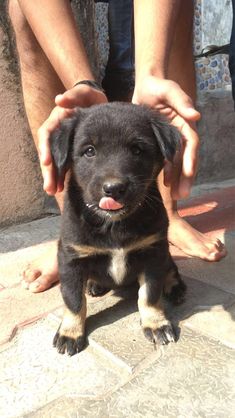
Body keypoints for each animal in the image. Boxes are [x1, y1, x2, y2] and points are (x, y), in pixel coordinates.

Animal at [50, 103, 186, 354]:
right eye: (89, 151)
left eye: (137, 150)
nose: (113, 189)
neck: (114, 223)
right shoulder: (70, 258)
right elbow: (73, 300)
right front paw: (70, 332)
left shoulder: (153, 252)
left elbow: (150, 294)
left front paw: (156, 323)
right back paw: (93, 285)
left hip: (165, 252)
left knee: (171, 268)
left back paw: (175, 287)